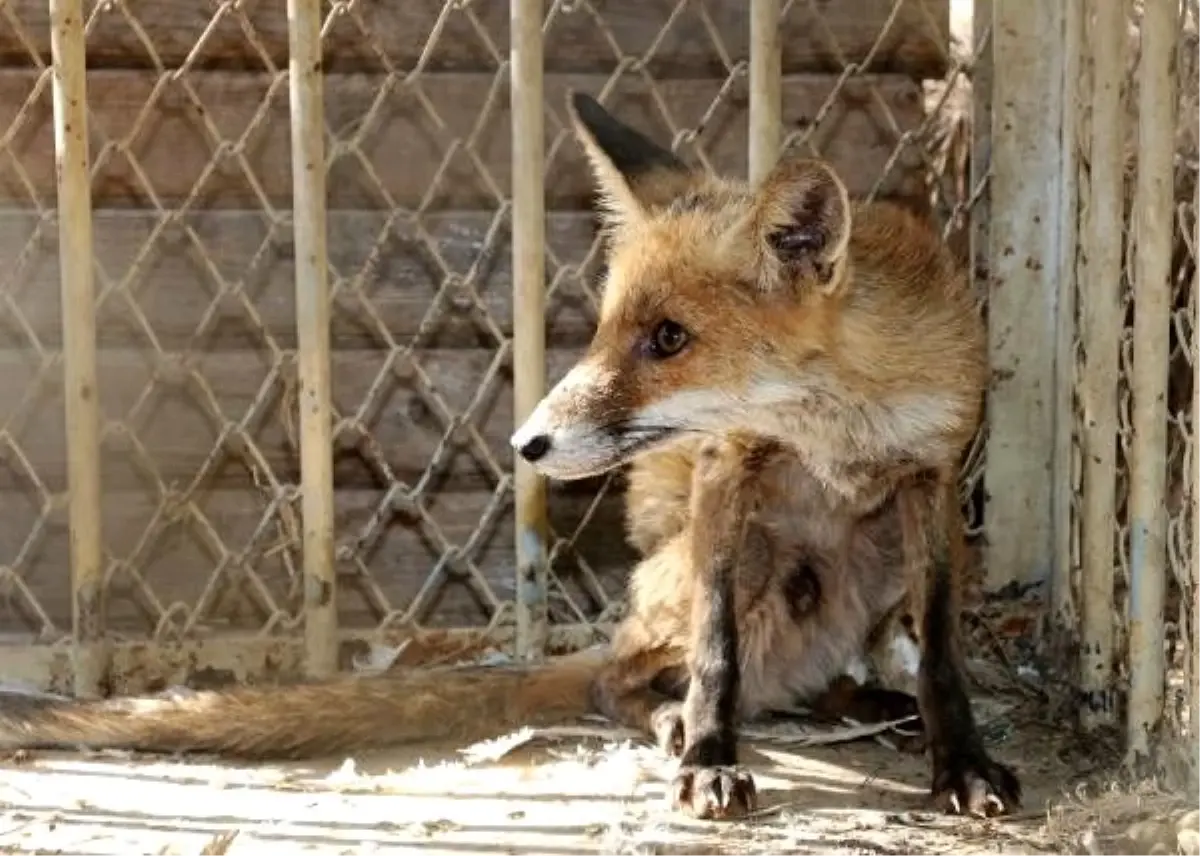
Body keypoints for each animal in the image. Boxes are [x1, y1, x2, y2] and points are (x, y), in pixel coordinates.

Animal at [0, 91, 1017, 821]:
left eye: (669, 338)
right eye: (604, 330)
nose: (525, 443)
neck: (840, 427)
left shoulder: (934, 479)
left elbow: (940, 655)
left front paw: (959, 761)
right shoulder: (727, 469)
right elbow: (718, 656)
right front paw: (708, 758)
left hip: (870, 564)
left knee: (805, 675)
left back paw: (856, 703)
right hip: (736, 565)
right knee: (618, 677)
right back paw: (674, 720)